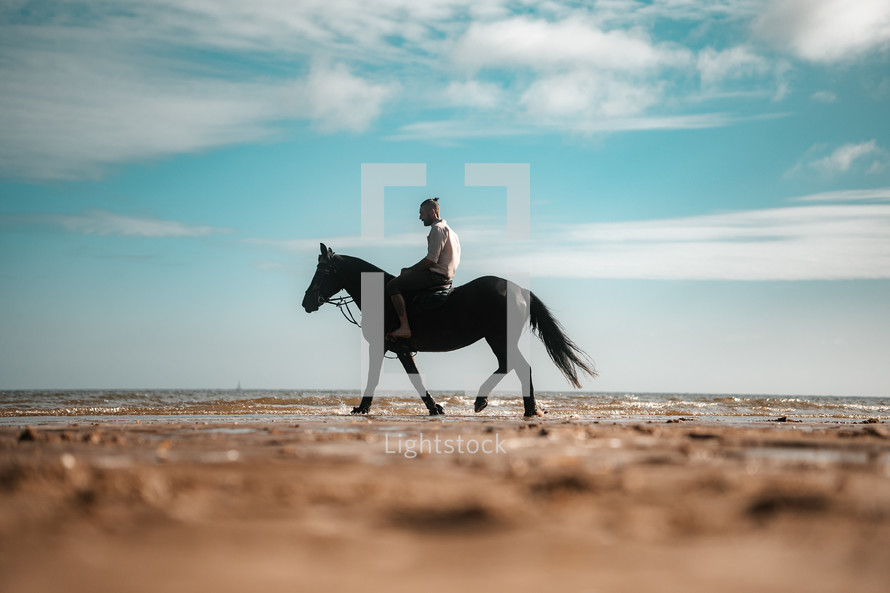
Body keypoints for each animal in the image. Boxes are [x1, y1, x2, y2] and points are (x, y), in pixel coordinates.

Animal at [302, 242, 592, 416]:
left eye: (323, 271)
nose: (307, 302)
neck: (381, 295)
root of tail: (520, 290)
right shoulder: (401, 350)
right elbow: (416, 378)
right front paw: (435, 408)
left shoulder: (381, 346)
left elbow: (375, 377)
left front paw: (362, 408)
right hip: (498, 339)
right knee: (511, 365)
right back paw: (518, 407)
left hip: (498, 337)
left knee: (516, 366)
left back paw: (502, 404)